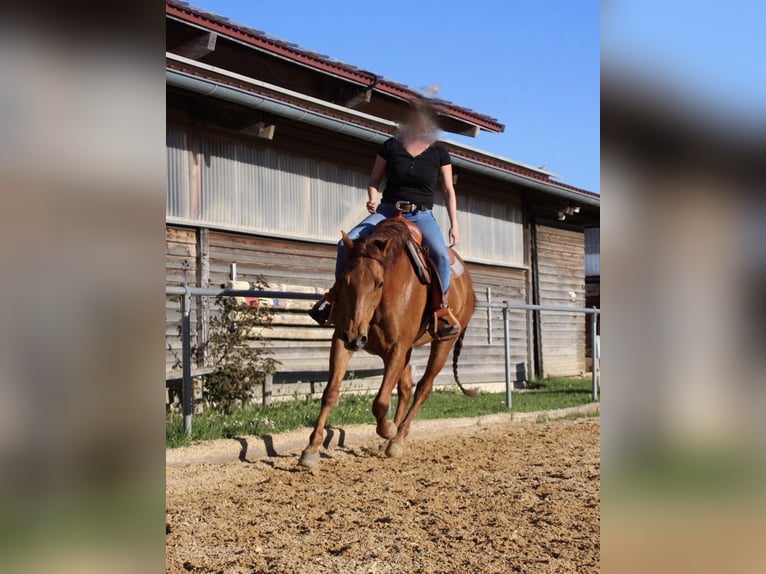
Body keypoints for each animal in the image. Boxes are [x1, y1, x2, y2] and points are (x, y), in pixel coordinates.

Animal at [298, 218, 474, 470]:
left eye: (379, 283)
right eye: (344, 280)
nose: (356, 337)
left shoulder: (397, 349)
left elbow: (380, 402)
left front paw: (388, 429)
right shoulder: (342, 339)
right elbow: (330, 392)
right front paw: (311, 450)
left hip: (443, 343)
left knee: (423, 388)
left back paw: (397, 439)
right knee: (406, 388)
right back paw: (389, 440)